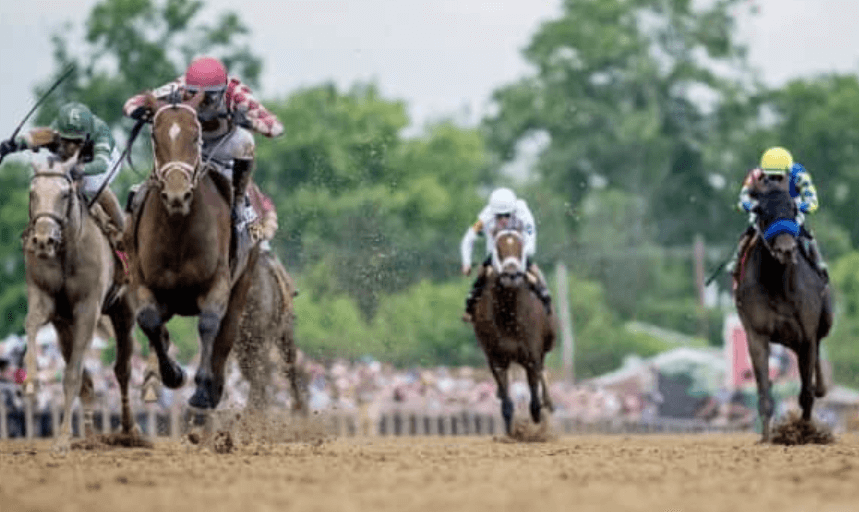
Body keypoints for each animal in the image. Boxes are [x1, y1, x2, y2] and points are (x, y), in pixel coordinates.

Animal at [23, 152, 137, 452]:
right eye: (32, 193)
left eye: (64, 194)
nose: (43, 240)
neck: (67, 252)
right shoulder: (46, 302)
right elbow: (31, 326)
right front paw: (31, 383)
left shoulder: (88, 309)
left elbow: (73, 376)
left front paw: (62, 438)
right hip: (65, 327)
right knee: (87, 378)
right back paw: (90, 435)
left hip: (124, 312)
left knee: (122, 370)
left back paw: (130, 429)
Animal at [126, 92, 258, 410]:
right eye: (154, 134)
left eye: (195, 135)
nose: (177, 194)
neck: (178, 231)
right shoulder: (140, 279)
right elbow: (149, 321)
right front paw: (173, 374)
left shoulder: (219, 281)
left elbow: (209, 324)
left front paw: (202, 389)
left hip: (244, 281)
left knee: (226, 333)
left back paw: (215, 388)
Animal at [471, 229, 556, 434]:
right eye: (498, 247)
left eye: (520, 246)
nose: (511, 275)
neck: (508, 314)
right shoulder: (497, 359)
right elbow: (507, 403)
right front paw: (511, 433)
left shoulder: (532, 355)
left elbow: (535, 403)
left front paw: (536, 426)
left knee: (541, 376)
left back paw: (548, 403)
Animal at [734, 172, 833, 442]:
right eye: (763, 210)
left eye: (792, 208)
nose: (786, 249)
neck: (779, 284)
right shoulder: (757, 334)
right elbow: (764, 391)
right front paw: (767, 438)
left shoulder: (806, 334)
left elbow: (806, 393)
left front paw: (806, 432)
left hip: (822, 323)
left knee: (817, 354)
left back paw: (820, 389)